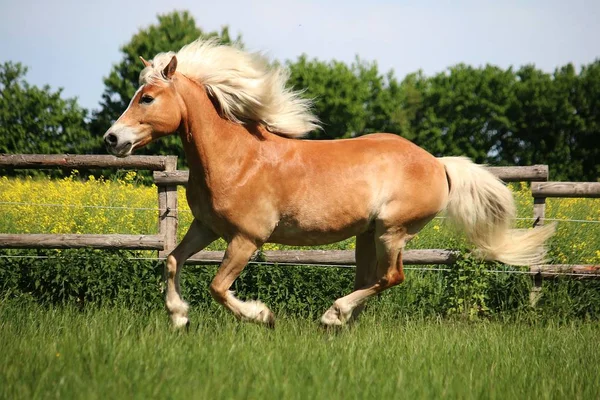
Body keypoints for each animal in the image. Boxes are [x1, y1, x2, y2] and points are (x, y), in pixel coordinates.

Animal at [103, 39, 552, 330]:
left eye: (147, 98)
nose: (112, 139)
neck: (236, 158)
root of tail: (438, 163)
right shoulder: (206, 227)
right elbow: (172, 260)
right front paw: (179, 316)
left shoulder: (246, 239)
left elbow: (217, 287)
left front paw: (263, 316)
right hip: (367, 236)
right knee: (371, 279)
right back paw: (340, 320)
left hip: (392, 231)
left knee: (391, 278)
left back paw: (332, 314)